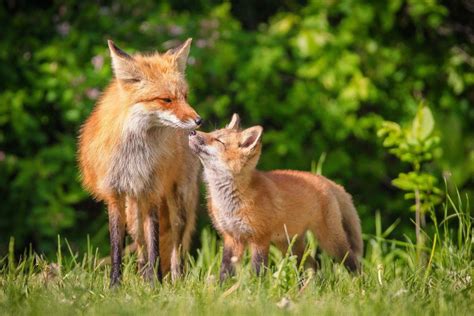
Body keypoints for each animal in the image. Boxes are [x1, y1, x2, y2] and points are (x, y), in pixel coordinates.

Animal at [78, 39, 200, 286]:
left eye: (185, 96)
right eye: (166, 100)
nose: (198, 121)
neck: (134, 157)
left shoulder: (151, 191)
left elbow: (156, 245)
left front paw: (156, 285)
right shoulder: (114, 194)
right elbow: (117, 247)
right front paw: (115, 286)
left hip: (178, 205)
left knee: (176, 248)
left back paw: (175, 281)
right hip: (133, 213)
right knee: (142, 247)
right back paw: (144, 277)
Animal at [189, 115, 362, 280]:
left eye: (218, 140)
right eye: (212, 133)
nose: (192, 132)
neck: (231, 201)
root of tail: (326, 181)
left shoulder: (260, 238)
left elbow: (258, 270)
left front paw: (257, 288)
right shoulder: (232, 237)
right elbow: (225, 270)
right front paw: (223, 288)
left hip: (331, 241)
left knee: (353, 263)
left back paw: (358, 284)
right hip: (288, 244)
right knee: (312, 264)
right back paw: (306, 288)